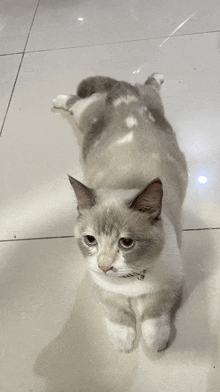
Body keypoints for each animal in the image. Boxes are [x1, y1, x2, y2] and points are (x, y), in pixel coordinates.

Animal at [52, 72, 187, 352]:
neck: (131, 281)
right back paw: (59, 100)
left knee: (146, 85)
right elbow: (116, 313)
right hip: (85, 116)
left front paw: (154, 342)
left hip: (152, 102)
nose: (104, 266)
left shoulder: (172, 284)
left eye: (126, 243)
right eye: (90, 240)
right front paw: (124, 341)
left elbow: (154, 319)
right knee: (78, 100)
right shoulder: (101, 287)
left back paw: (157, 76)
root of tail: (125, 95)